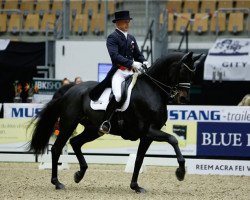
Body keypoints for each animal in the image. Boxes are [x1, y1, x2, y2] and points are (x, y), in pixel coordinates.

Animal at [28, 50, 201, 193]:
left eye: (194, 73)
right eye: (183, 70)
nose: (183, 99)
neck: (152, 90)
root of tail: (68, 91)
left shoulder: (147, 136)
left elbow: (139, 159)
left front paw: (135, 186)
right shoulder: (148, 131)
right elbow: (173, 139)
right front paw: (180, 172)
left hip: (93, 129)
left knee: (75, 142)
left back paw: (79, 174)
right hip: (68, 124)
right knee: (57, 148)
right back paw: (57, 182)